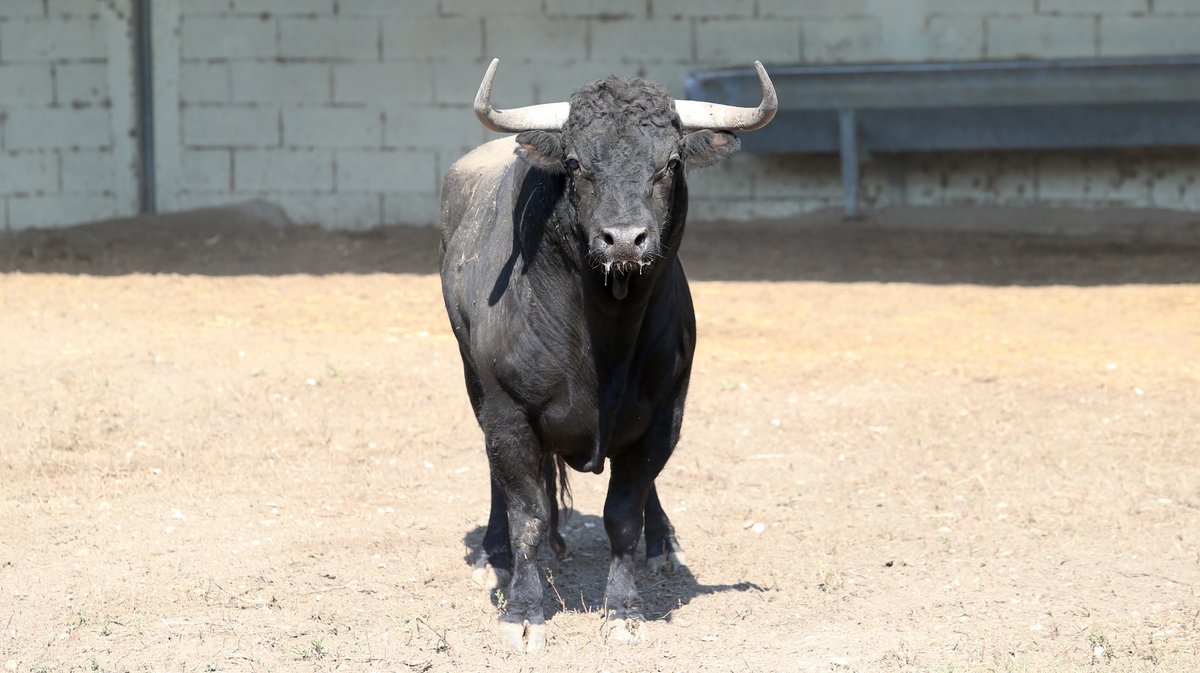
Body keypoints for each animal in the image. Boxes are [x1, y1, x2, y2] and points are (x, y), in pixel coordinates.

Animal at [441, 60, 777, 647]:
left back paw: (663, 544)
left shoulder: (664, 413)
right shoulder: (507, 413)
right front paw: (522, 611)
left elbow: (624, 512)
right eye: (576, 162)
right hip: (475, 385)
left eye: (670, 162)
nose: (623, 239)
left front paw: (624, 608)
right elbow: (527, 512)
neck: (604, 340)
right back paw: (495, 555)